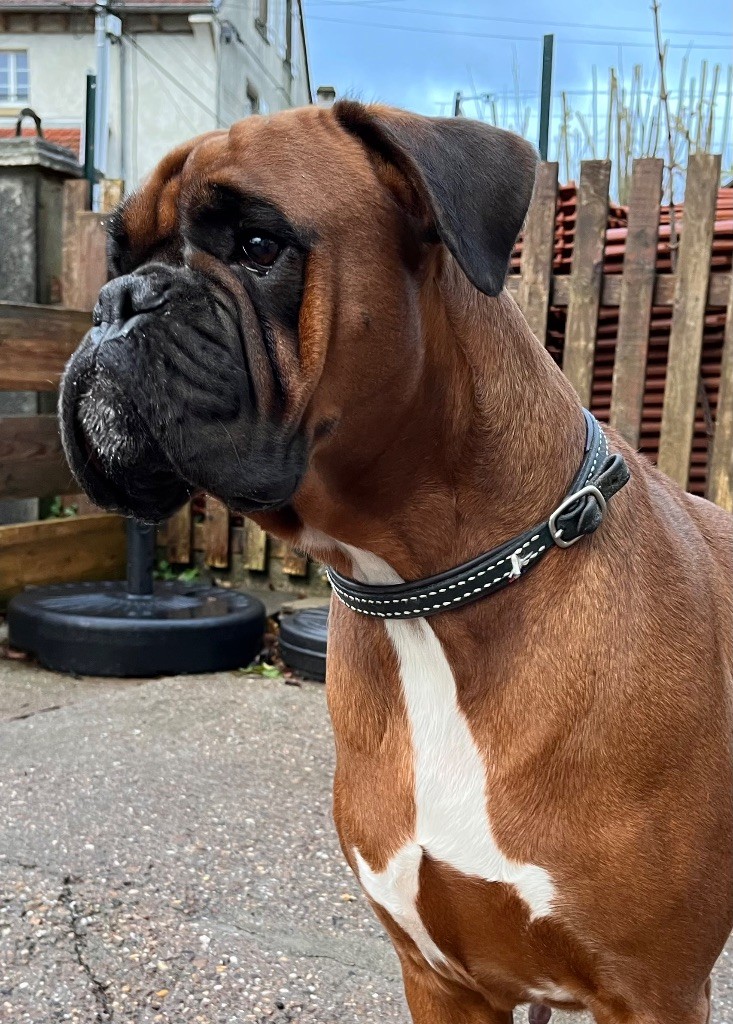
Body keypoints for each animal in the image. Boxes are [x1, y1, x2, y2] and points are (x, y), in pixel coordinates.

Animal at [60, 105, 728, 1024]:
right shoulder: (442, 978)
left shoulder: (652, 992)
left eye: (258, 244)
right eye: (121, 260)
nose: (116, 303)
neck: (428, 600)